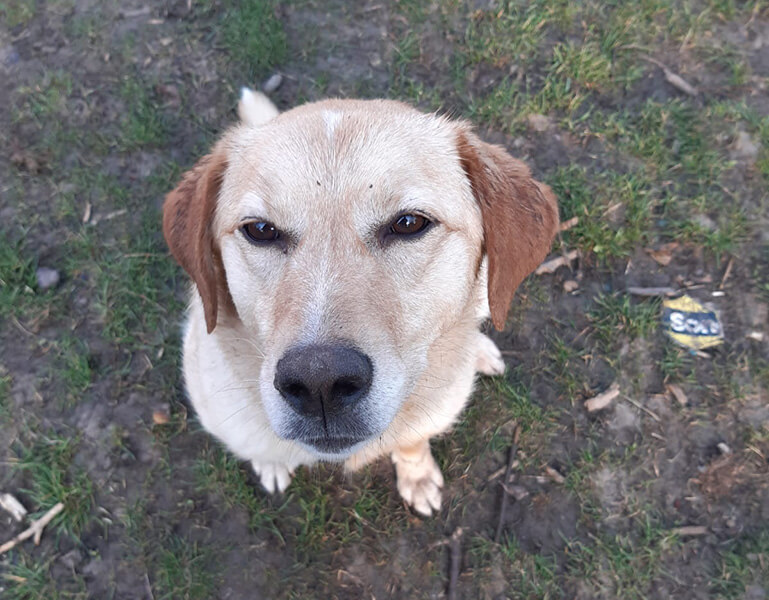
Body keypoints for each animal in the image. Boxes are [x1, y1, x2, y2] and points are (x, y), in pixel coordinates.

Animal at [163, 90, 558, 516]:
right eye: (261, 230)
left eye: (409, 223)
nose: (319, 381)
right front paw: (270, 464)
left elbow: (412, 442)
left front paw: (417, 476)